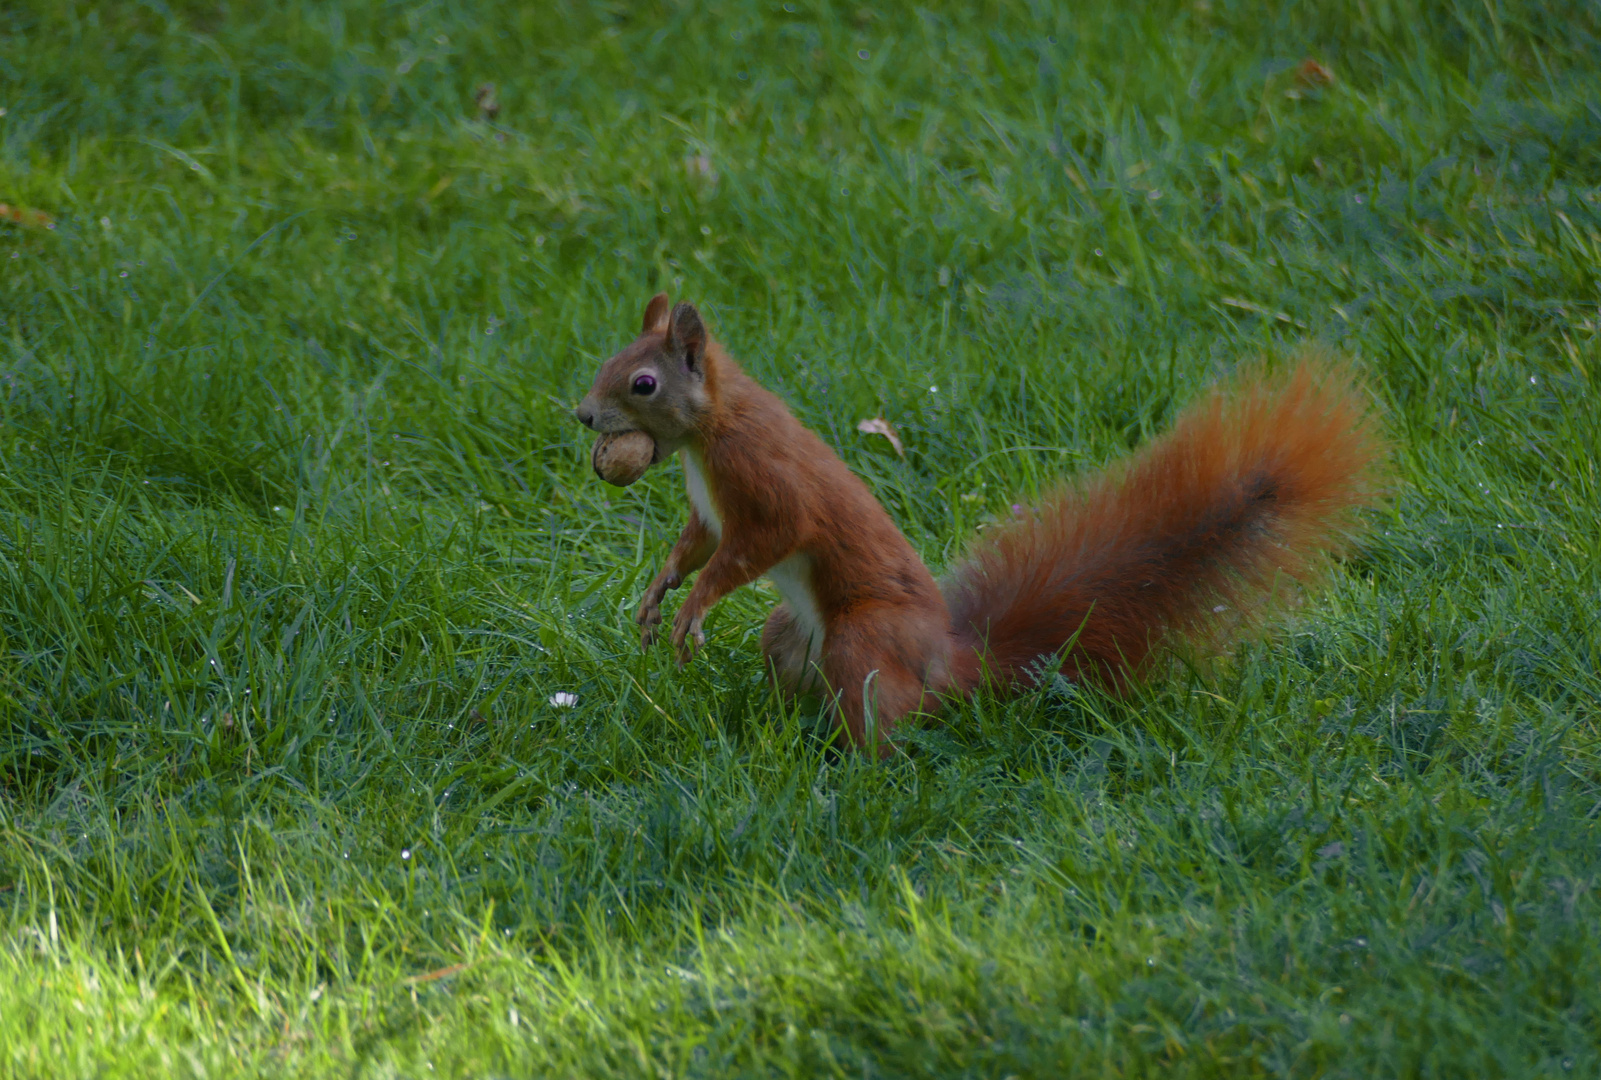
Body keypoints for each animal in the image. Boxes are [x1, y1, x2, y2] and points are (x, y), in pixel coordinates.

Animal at [579, 294, 1389, 752]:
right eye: (609, 359)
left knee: (883, 718)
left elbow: (755, 547)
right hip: (791, 638)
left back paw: (851, 770)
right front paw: (659, 593)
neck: (710, 432)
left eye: (643, 382)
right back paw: (779, 731)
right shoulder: (709, 511)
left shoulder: (767, 487)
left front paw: (694, 606)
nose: (584, 416)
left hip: (861, 637)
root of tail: (946, 661)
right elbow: (698, 544)